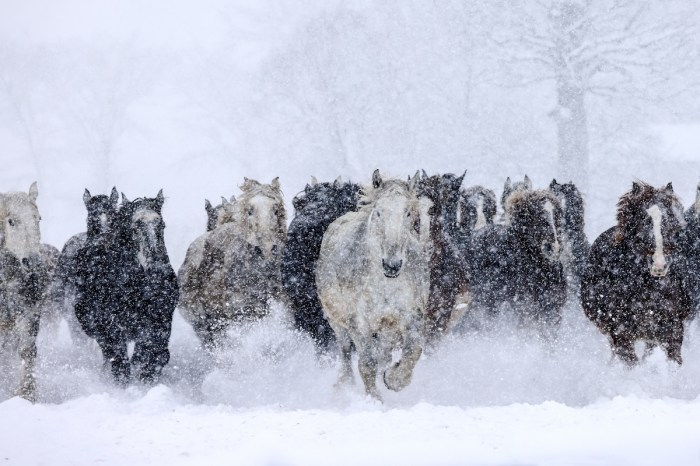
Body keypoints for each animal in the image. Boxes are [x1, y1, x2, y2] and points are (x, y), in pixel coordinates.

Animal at [0, 182, 55, 401]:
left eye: (38, 218)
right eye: (11, 221)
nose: (33, 262)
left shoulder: (29, 313)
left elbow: (27, 350)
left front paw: (26, 393)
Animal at [74, 190, 178, 384]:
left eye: (162, 225)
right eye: (135, 226)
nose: (157, 267)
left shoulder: (160, 324)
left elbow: (154, 357)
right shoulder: (112, 329)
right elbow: (121, 364)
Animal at [316, 170, 429, 400]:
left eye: (408, 213)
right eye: (378, 212)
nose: (392, 264)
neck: (385, 283)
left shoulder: (411, 315)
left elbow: (413, 351)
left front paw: (393, 379)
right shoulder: (358, 322)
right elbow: (367, 363)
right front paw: (374, 400)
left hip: (386, 328)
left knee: (383, 354)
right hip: (336, 320)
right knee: (345, 351)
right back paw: (343, 385)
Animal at [581, 182, 691, 365]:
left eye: (670, 219)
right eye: (643, 220)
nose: (659, 264)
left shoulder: (672, 328)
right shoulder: (620, 332)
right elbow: (631, 362)